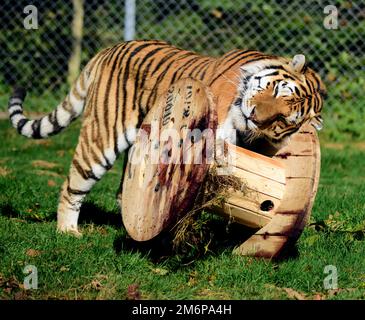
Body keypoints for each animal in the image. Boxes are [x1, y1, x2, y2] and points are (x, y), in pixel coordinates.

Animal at [7, 40, 324, 235]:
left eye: (283, 119)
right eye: (277, 90)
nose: (254, 117)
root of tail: (109, 48)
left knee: (125, 191)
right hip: (102, 137)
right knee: (72, 185)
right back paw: (68, 231)